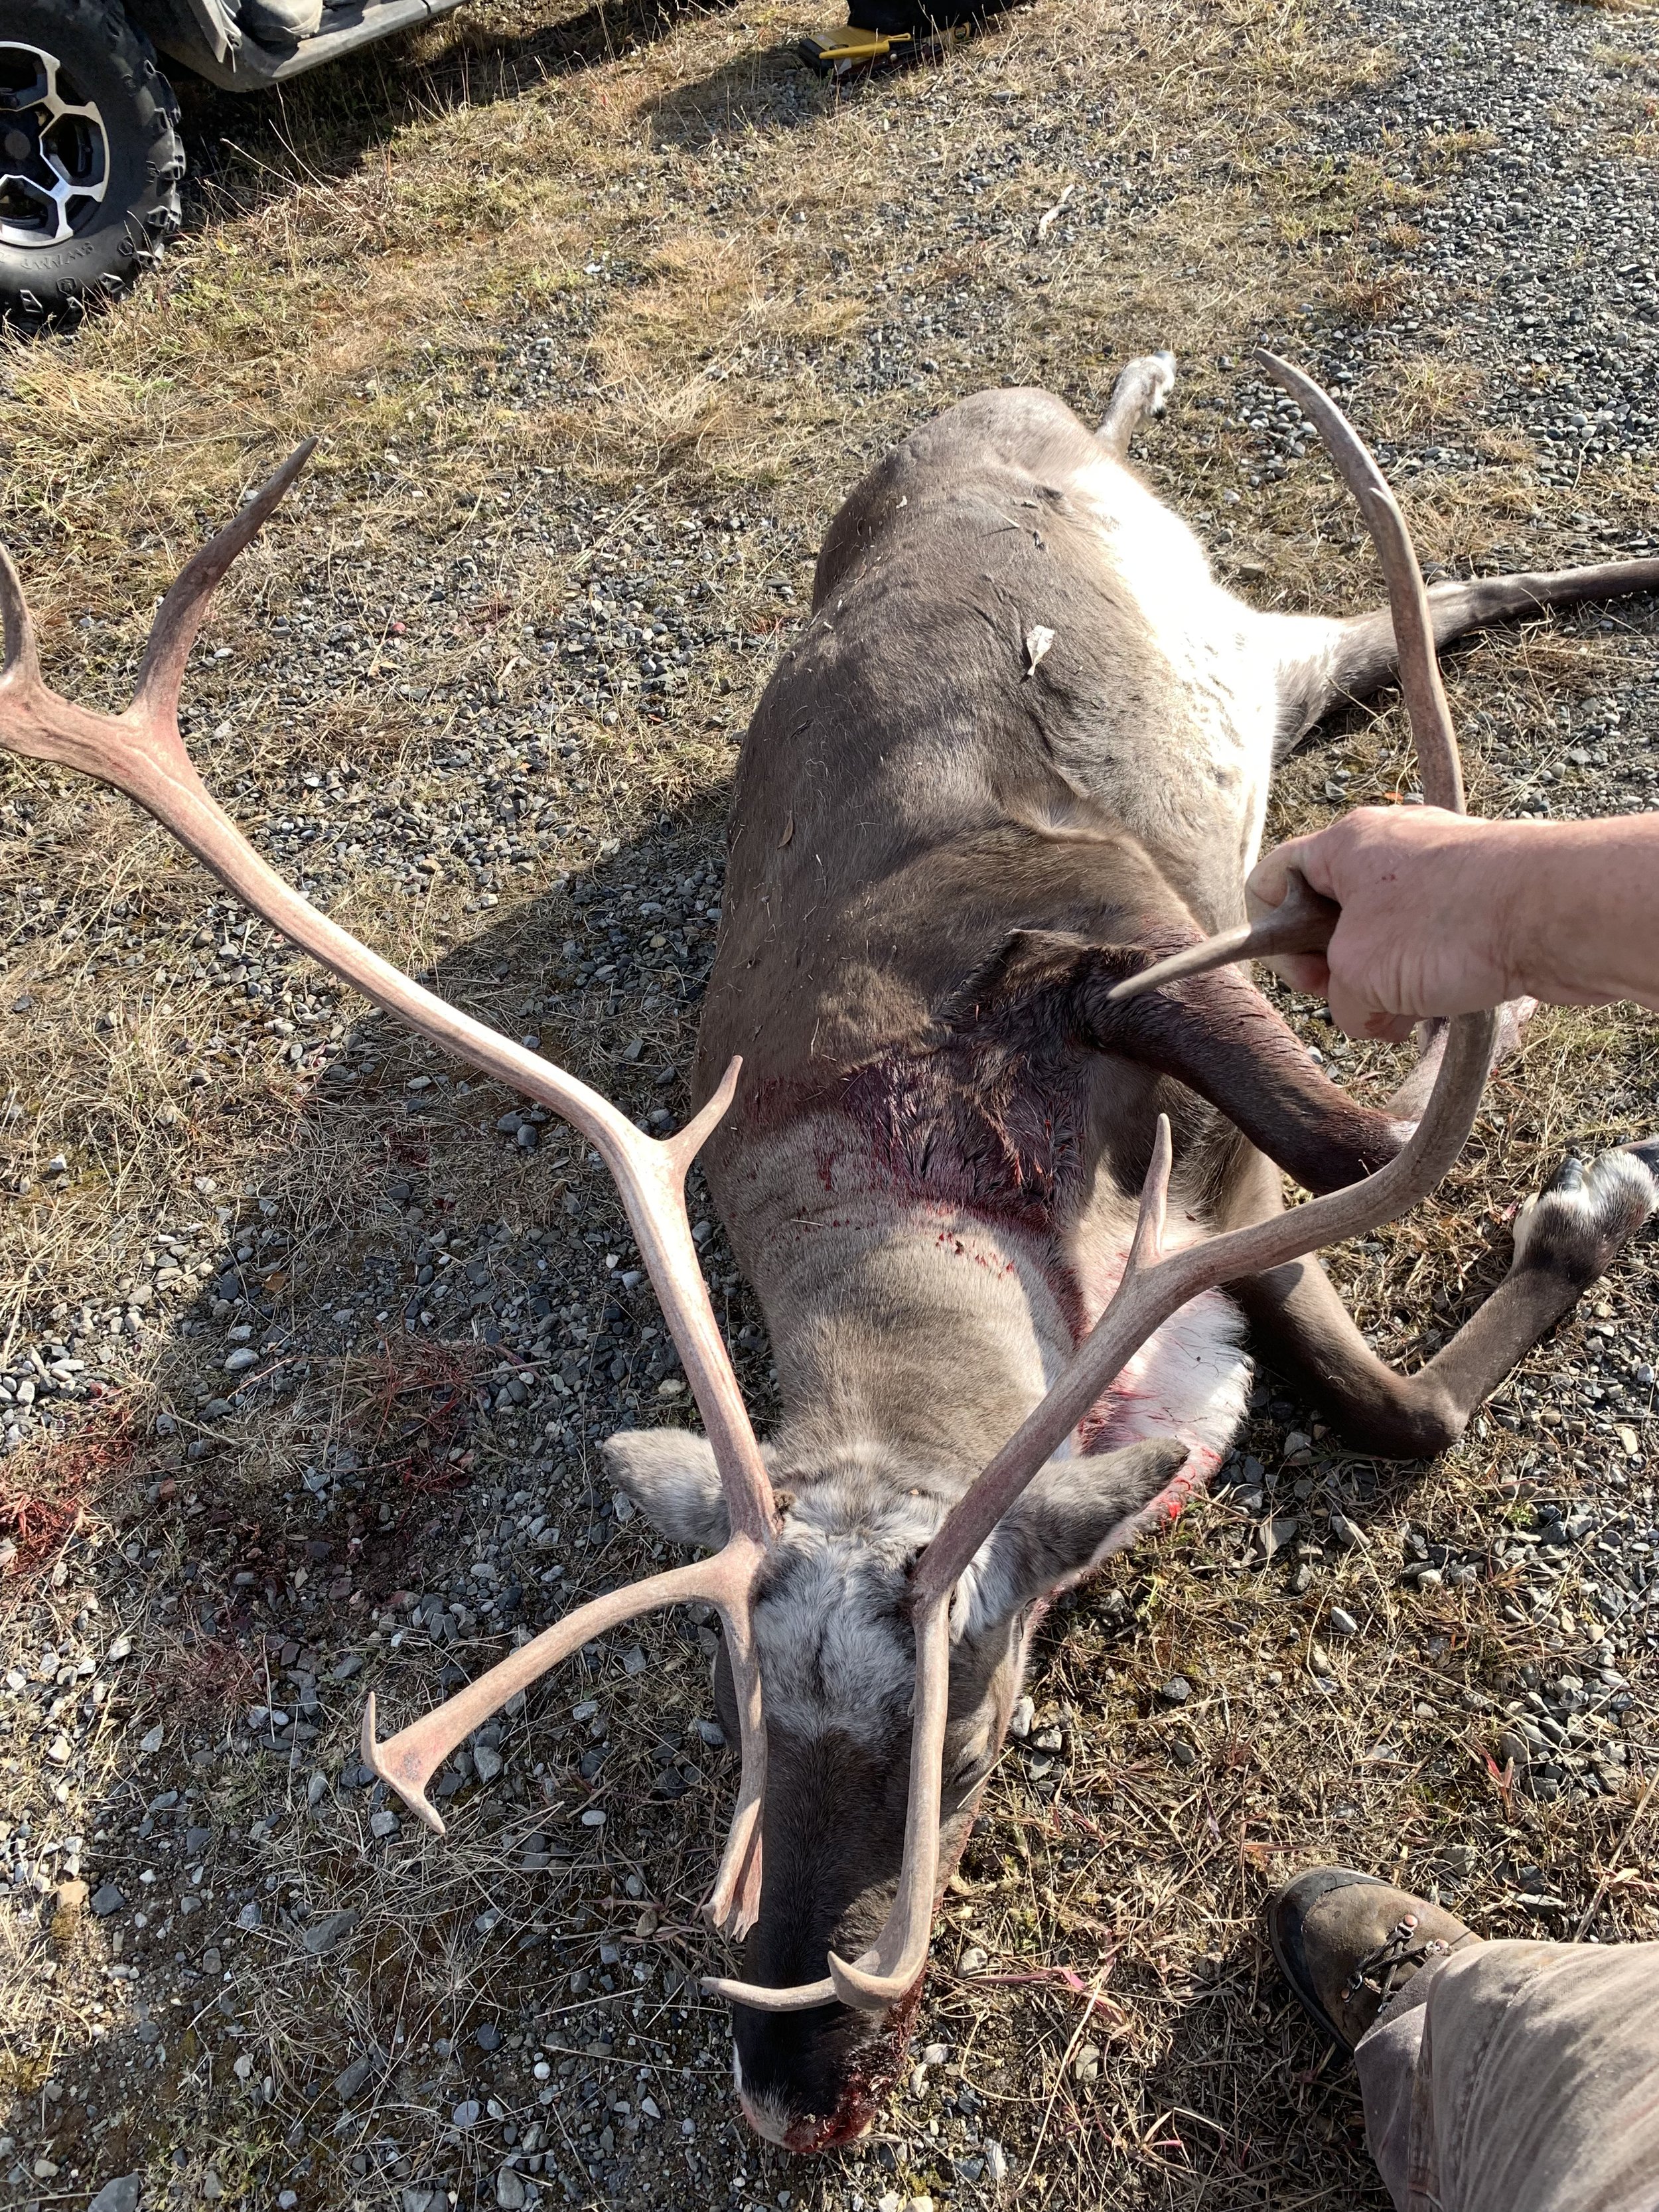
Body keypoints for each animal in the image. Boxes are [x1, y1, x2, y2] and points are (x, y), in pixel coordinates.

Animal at [2, 354, 1655, 2157]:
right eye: (738, 1733)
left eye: (976, 1740)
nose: (791, 2086)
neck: (944, 1223)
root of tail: (1012, 398)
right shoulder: (1201, 1244)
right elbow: (1384, 1381)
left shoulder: (1116, 933)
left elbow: (1356, 1164)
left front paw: (1582, 1170)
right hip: (1265, 654)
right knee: (1454, 596)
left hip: (1255, 654)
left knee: (1461, 601)